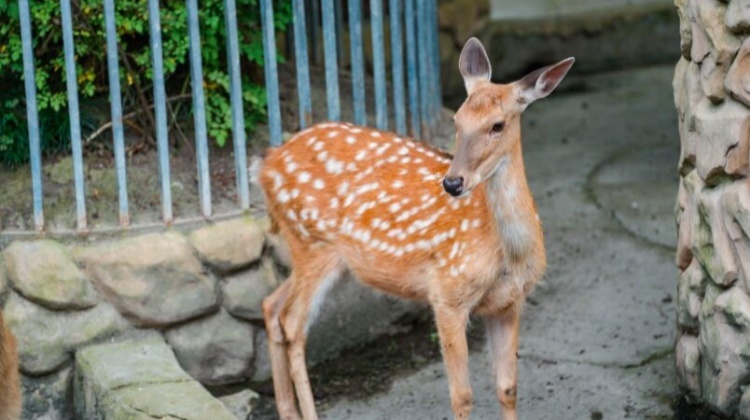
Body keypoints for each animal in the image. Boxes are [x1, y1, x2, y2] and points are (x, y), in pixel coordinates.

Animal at [258, 37, 574, 420]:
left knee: (271, 305)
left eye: (498, 125)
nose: (452, 183)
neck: (508, 254)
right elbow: (462, 395)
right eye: (456, 119)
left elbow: (508, 388)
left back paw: (287, 409)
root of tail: (265, 163)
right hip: (312, 242)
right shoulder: (446, 293)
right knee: (293, 322)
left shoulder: (509, 303)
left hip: (315, 252)